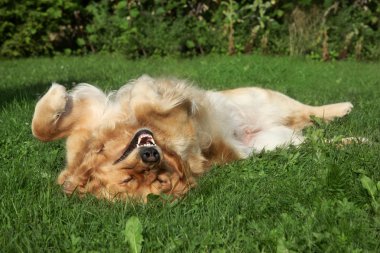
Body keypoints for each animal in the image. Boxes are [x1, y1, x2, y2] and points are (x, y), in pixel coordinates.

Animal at [32, 75, 354, 202]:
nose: (151, 155)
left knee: (308, 111)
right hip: (278, 144)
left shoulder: (91, 115)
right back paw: (355, 140)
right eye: (129, 179)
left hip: (261, 98)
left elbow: (42, 128)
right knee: (317, 136)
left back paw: (344, 107)